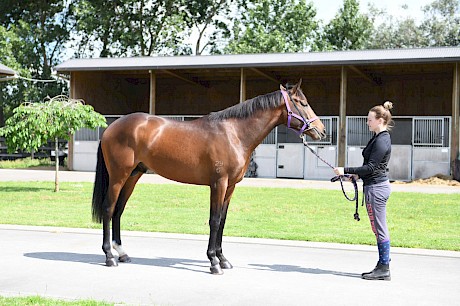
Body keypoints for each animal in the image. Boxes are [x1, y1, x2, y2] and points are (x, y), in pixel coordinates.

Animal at [91, 79, 326, 274]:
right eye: (302, 103)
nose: (321, 131)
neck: (234, 134)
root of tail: (112, 127)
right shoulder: (218, 184)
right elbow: (214, 220)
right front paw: (213, 262)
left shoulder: (230, 187)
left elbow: (222, 220)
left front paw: (223, 259)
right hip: (118, 176)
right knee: (109, 209)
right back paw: (109, 256)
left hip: (133, 175)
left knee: (119, 210)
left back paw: (122, 253)